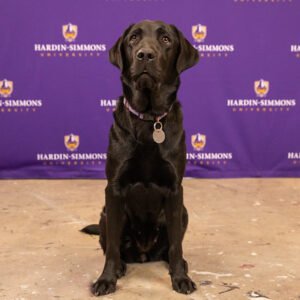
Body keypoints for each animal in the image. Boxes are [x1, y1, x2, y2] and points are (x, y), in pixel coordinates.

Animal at [82, 19, 199, 296]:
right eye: (133, 38)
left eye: (166, 39)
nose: (145, 54)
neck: (149, 120)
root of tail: (145, 254)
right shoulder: (113, 189)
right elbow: (112, 247)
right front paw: (106, 279)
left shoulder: (175, 189)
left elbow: (176, 245)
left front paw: (180, 278)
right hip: (106, 213)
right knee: (112, 245)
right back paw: (120, 266)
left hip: (183, 211)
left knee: (171, 246)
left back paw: (180, 264)